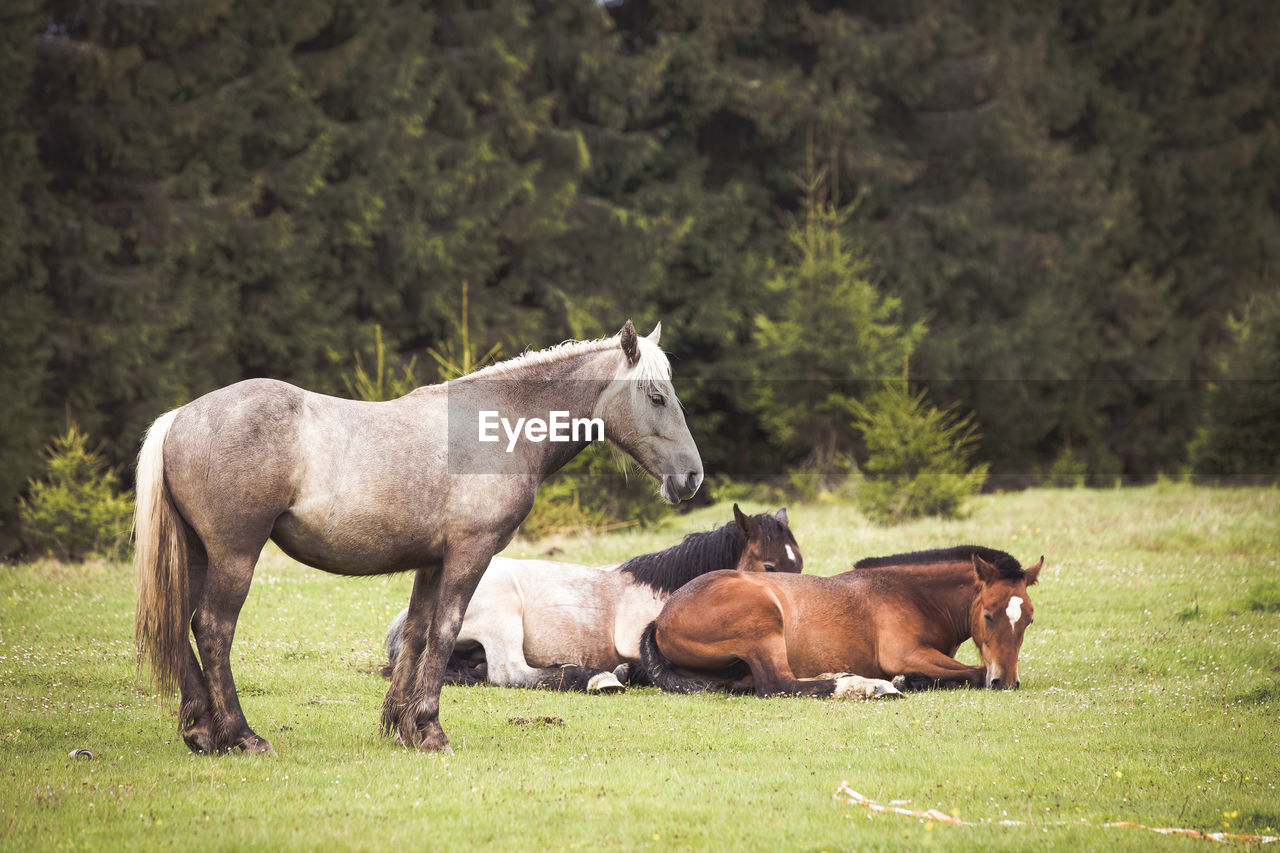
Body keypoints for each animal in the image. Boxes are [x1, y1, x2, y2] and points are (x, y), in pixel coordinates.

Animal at [135, 318, 706, 753]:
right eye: (657, 396)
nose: (692, 477)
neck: (495, 426)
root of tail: (181, 417)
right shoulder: (469, 556)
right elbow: (445, 630)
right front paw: (430, 729)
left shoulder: (431, 562)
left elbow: (415, 633)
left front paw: (398, 725)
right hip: (235, 555)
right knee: (212, 628)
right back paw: (240, 735)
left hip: (198, 556)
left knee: (180, 626)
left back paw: (201, 731)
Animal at [640, 540, 1039, 696]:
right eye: (988, 615)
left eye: (1029, 620)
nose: (1006, 681)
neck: (910, 594)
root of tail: (661, 619)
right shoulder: (905, 654)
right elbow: (974, 672)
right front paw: (905, 681)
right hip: (764, 625)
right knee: (779, 684)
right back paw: (859, 686)